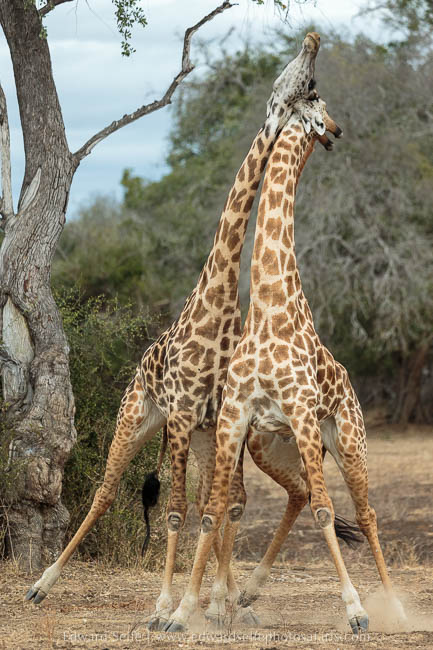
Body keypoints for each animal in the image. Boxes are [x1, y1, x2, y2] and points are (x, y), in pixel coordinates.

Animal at [25, 33, 321, 626]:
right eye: (299, 82)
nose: (312, 41)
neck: (221, 306)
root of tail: (139, 369)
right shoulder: (184, 414)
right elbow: (180, 511)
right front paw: (168, 606)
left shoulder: (215, 419)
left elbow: (218, 505)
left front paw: (217, 605)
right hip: (138, 417)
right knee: (104, 491)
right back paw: (41, 586)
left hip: (200, 434)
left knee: (219, 501)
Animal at [163, 97, 407, 634]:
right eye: (321, 105)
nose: (336, 129)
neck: (269, 307)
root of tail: (350, 387)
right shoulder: (235, 418)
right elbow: (213, 511)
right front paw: (182, 611)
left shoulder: (300, 411)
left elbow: (325, 510)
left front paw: (356, 611)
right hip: (274, 446)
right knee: (300, 496)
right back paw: (250, 592)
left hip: (344, 438)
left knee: (364, 511)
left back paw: (396, 609)